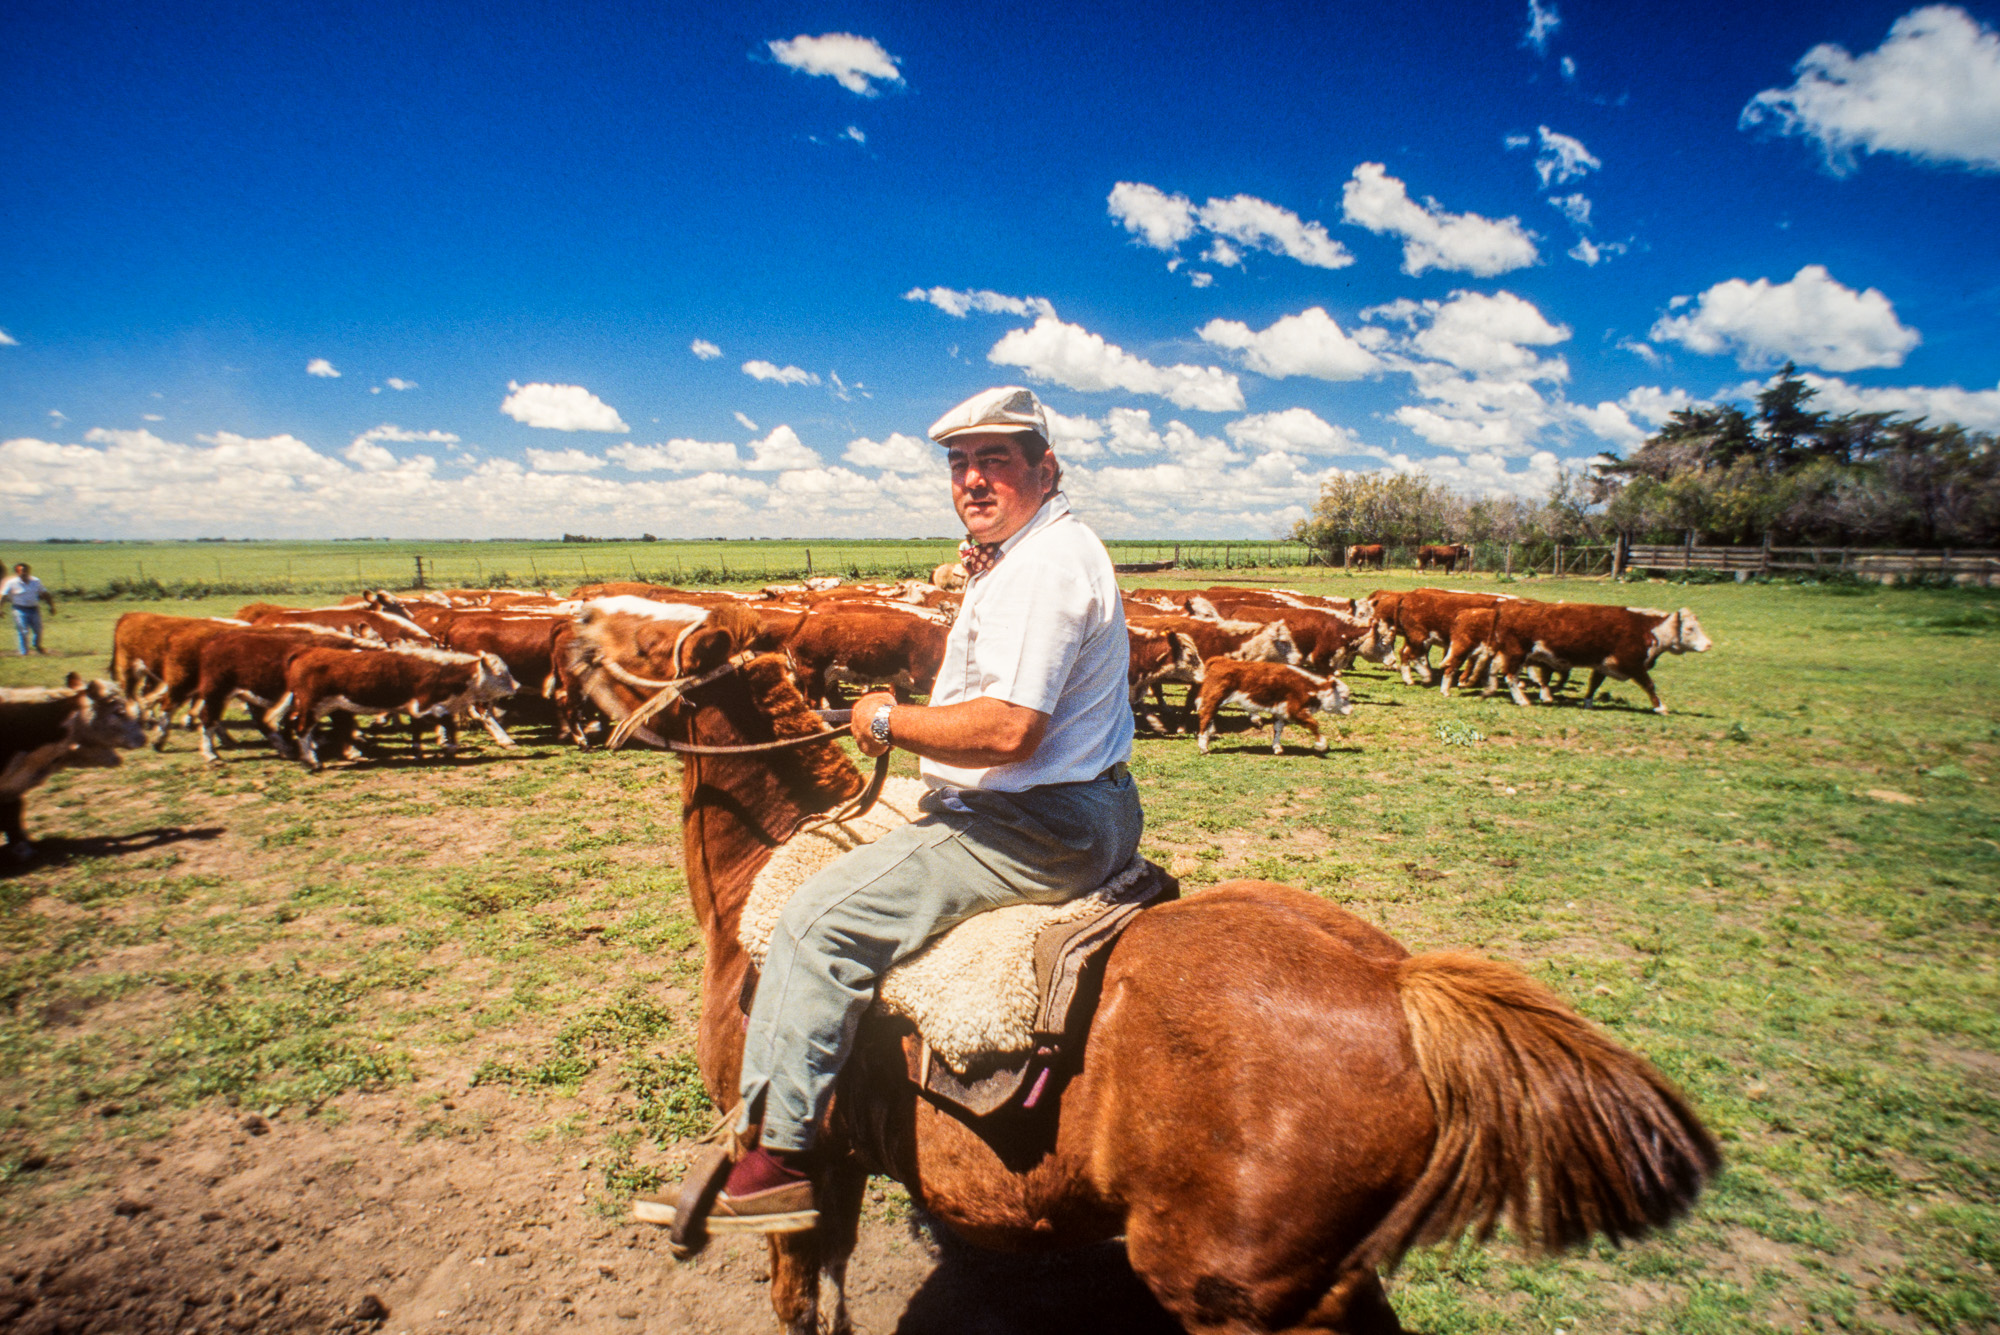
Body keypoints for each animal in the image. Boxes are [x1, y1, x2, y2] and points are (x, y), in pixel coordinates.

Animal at [1192, 659, 1352, 755]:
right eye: (1344, 697)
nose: (1351, 710)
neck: (1309, 686)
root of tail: (1220, 660)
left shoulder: (1280, 711)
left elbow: (1278, 728)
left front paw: (1277, 747)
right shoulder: (1294, 709)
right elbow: (1313, 723)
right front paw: (1321, 744)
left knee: (1208, 718)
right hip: (1214, 699)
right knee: (1205, 717)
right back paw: (1203, 747)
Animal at [1448, 603, 1712, 715]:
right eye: (1690, 629)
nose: (1709, 644)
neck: (1647, 629)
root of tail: (1507, 608)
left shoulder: (1602, 665)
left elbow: (1594, 684)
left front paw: (1587, 703)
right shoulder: (1632, 664)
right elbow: (1649, 685)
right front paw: (1661, 707)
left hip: (1508, 652)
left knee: (1493, 669)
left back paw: (1489, 690)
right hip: (1516, 653)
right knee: (1511, 676)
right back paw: (1522, 700)